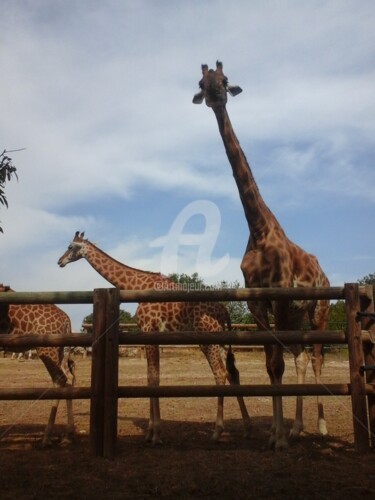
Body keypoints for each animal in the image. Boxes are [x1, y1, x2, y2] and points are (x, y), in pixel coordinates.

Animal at [0, 284, 75, 448]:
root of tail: (66, 320)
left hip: (47, 348)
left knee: (60, 378)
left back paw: (46, 439)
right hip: (60, 349)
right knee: (69, 377)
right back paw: (68, 436)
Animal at [58, 231, 253, 446]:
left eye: (70, 246)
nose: (60, 261)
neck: (135, 285)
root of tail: (225, 313)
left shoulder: (149, 329)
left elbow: (153, 378)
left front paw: (156, 433)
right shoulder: (149, 333)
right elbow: (151, 377)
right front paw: (150, 431)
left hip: (208, 340)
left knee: (220, 374)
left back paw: (217, 432)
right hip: (222, 342)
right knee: (233, 374)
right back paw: (247, 428)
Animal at [195, 61, 330, 450]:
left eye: (224, 79)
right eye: (201, 82)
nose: (215, 94)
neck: (257, 231)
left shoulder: (279, 296)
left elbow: (278, 364)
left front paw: (280, 439)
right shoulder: (258, 303)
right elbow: (272, 366)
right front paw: (275, 433)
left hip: (318, 312)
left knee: (316, 358)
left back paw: (320, 427)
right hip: (296, 316)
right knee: (301, 357)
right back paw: (298, 428)